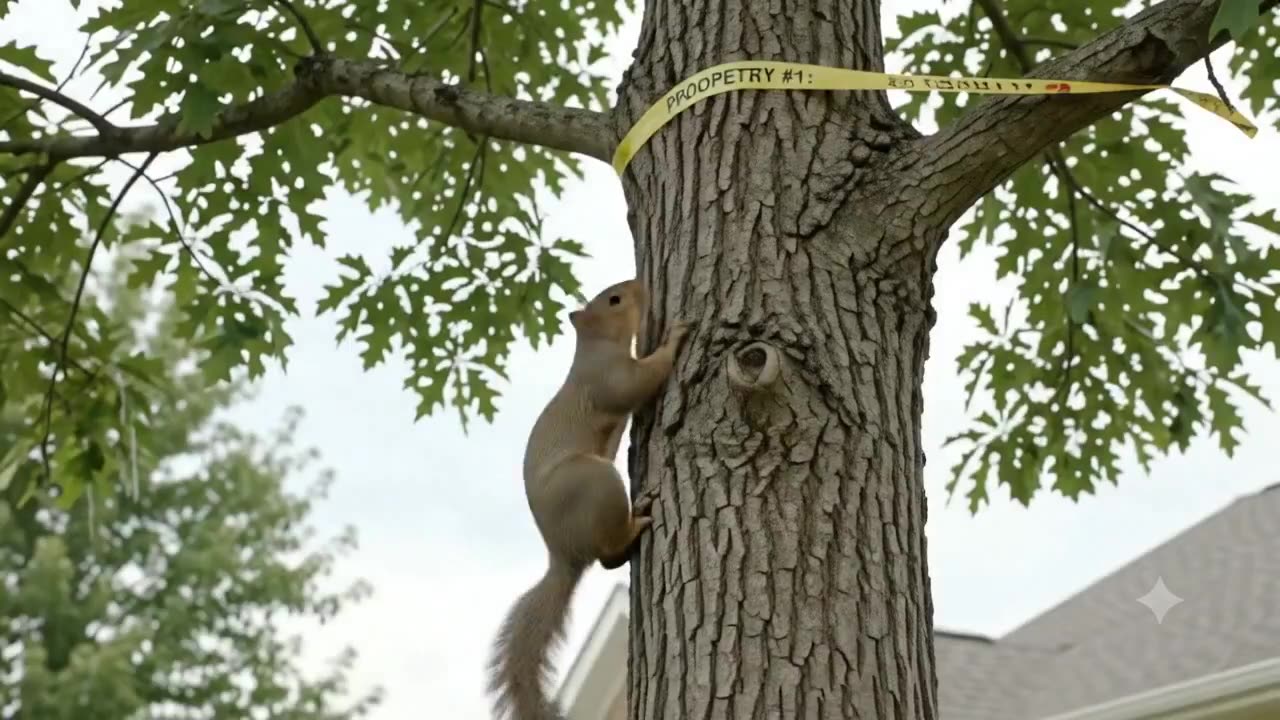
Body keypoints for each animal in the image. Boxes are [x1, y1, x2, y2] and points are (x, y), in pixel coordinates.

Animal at [487, 278, 690, 720]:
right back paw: (637, 522)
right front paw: (675, 337)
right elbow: (642, 380)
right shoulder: (608, 380)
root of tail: (563, 552)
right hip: (596, 481)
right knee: (609, 553)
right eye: (614, 300)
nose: (640, 283)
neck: (596, 346)